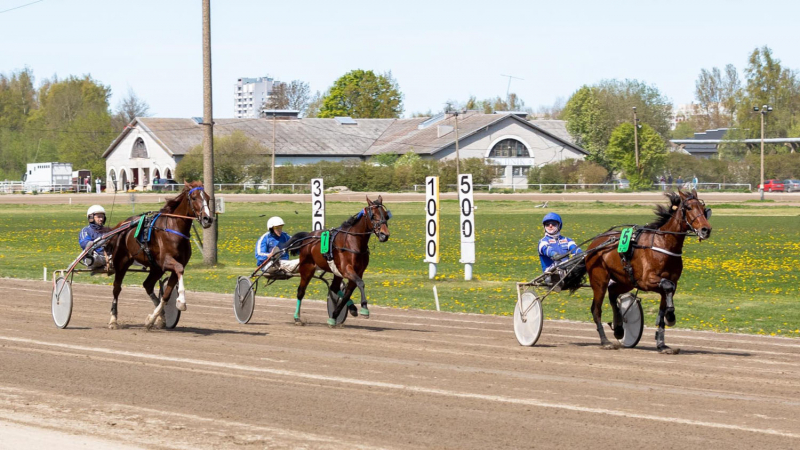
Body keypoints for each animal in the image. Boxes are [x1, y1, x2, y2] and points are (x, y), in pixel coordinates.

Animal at [111, 180, 216, 330]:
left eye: (207, 197)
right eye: (194, 197)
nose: (208, 219)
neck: (174, 228)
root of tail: (123, 224)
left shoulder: (172, 265)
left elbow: (166, 295)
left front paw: (152, 319)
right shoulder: (166, 261)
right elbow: (179, 269)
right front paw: (181, 302)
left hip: (155, 268)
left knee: (147, 285)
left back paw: (160, 317)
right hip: (121, 262)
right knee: (116, 288)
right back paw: (113, 320)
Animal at [284, 195, 390, 326]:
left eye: (386, 215)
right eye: (373, 215)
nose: (385, 235)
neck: (353, 242)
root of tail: (308, 236)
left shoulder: (357, 272)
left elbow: (348, 293)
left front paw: (335, 316)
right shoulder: (347, 269)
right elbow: (360, 283)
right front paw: (364, 308)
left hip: (336, 272)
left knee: (334, 287)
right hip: (307, 268)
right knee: (301, 292)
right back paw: (297, 317)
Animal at [584, 188, 708, 354]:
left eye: (703, 208)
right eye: (688, 208)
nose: (706, 229)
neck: (664, 244)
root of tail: (594, 244)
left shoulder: (668, 283)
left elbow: (665, 302)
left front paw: (662, 343)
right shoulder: (646, 280)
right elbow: (667, 286)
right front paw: (670, 315)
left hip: (626, 280)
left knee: (613, 292)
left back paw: (619, 328)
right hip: (599, 281)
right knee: (596, 309)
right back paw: (605, 341)